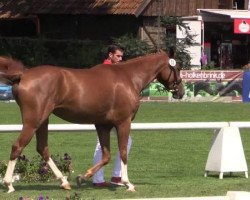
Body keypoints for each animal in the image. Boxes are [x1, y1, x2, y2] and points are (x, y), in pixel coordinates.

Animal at [0, 50, 184, 192]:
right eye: (178, 67)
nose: (181, 92)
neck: (128, 77)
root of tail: (23, 74)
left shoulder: (103, 125)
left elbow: (106, 156)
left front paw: (83, 177)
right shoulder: (123, 123)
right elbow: (123, 151)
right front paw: (128, 183)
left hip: (43, 120)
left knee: (42, 148)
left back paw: (64, 182)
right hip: (33, 122)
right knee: (17, 146)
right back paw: (9, 184)